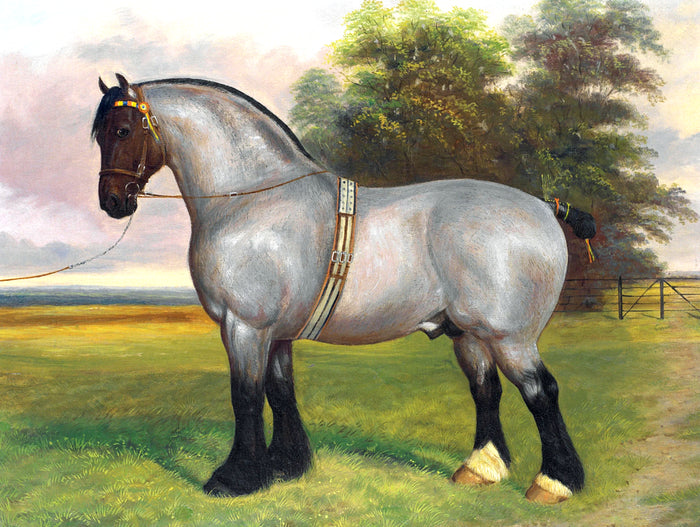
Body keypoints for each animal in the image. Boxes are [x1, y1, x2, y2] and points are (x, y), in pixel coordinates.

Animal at [92, 74, 592, 504]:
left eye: (122, 129)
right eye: (99, 135)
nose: (113, 202)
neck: (254, 199)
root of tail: (543, 207)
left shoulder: (245, 326)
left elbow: (246, 396)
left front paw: (236, 478)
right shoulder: (276, 333)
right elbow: (280, 391)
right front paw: (287, 465)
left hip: (511, 337)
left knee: (541, 391)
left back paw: (555, 482)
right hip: (468, 334)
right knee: (486, 390)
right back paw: (481, 469)